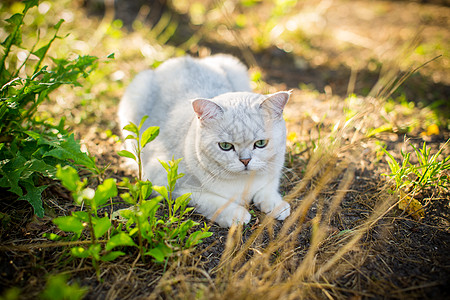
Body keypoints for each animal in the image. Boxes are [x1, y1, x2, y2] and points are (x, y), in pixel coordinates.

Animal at [118, 54, 290, 227]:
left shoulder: (274, 169)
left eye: (260, 144)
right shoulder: (172, 186)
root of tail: (184, 59)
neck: (243, 184)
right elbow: (214, 201)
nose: (245, 161)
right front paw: (237, 215)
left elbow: (268, 187)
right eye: (225, 146)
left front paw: (277, 205)